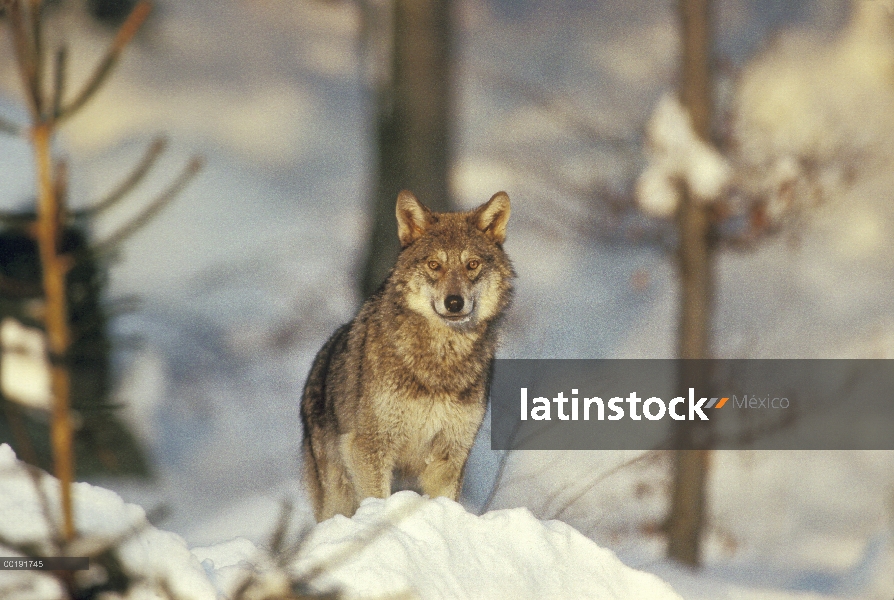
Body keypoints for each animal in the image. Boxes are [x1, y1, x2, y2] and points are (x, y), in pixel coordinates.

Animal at [300, 191, 516, 520]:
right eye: (434, 264)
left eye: (472, 264)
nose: (454, 302)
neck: (439, 364)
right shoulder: (370, 448)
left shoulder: (449, 457)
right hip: (337, 494)